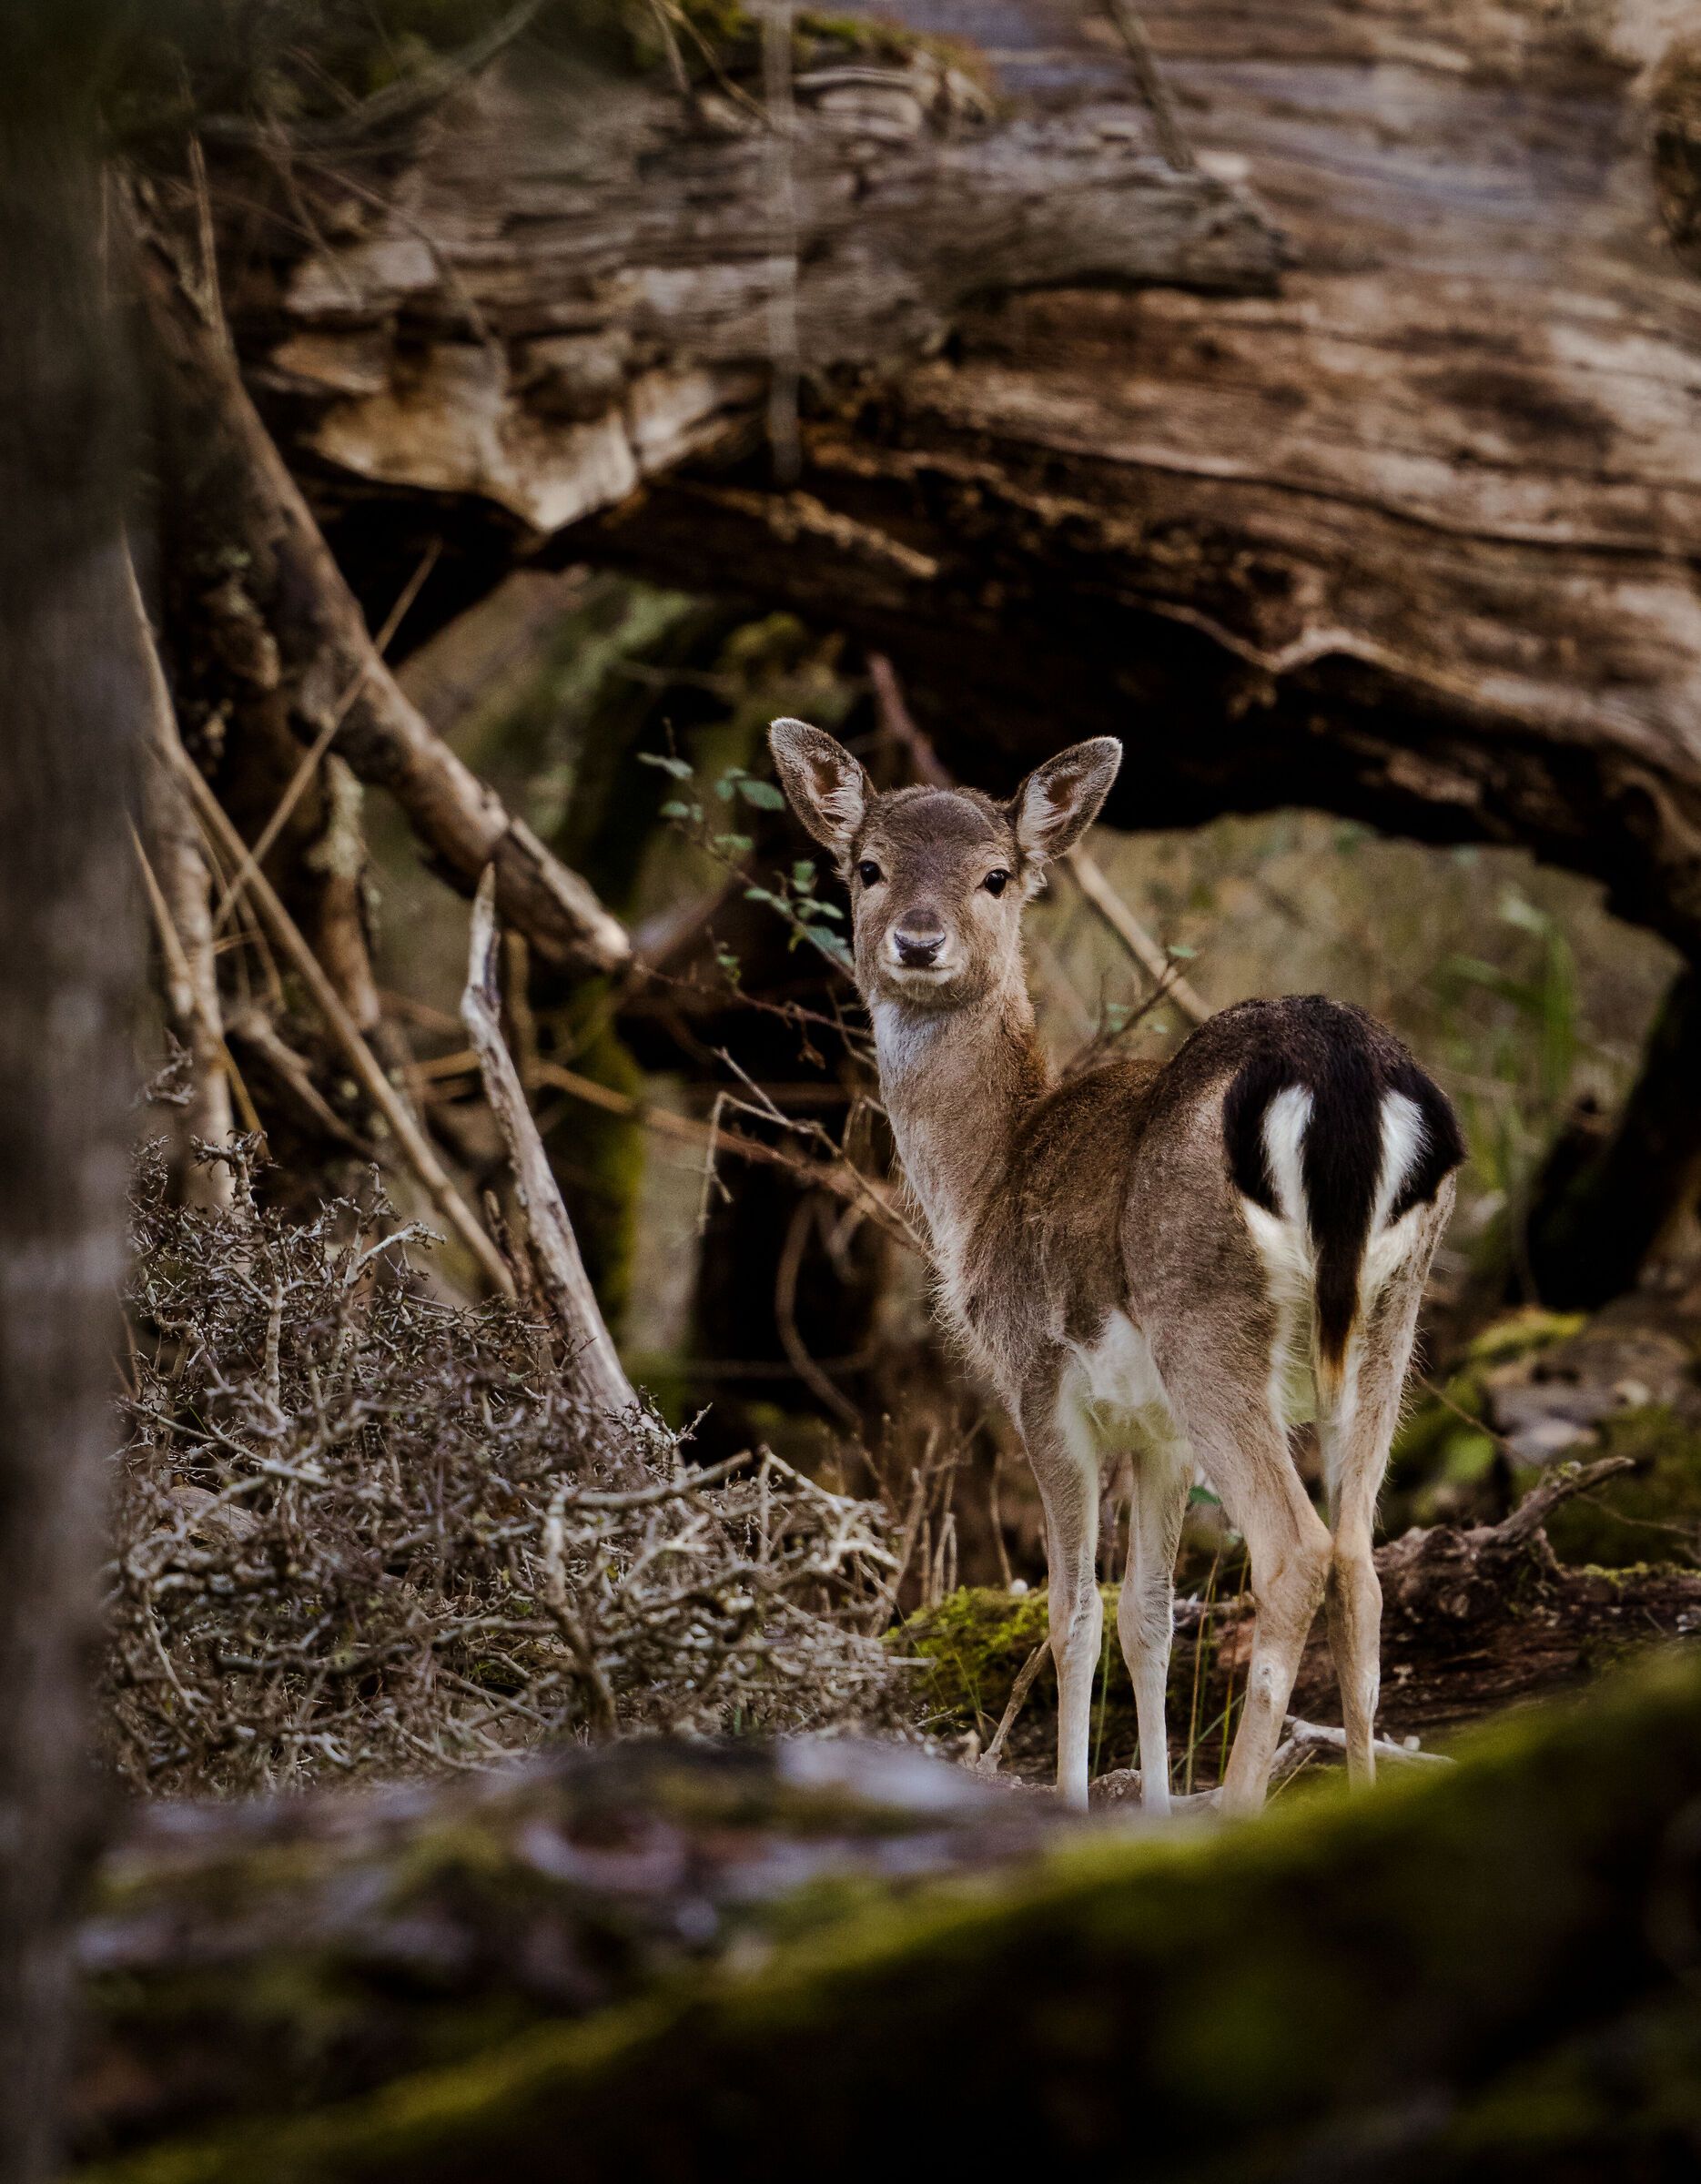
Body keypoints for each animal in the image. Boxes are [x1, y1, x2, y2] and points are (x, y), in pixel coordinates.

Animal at [768, 718, 1463, 1815]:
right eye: (867, 865)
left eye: (997, 876)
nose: (916, 940)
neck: (986, 1183)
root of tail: (1342, 1076)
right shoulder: (1159, 1431)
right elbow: (1148, 1616)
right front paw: (1149, 1803)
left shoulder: (1040, 1380)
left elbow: (1072, 1617)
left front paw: (1076, 1801)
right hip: (1392, 1321)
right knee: (1362, 1558)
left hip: (1205, 1323)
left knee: (1296, 1550)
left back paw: (1243, 1803)